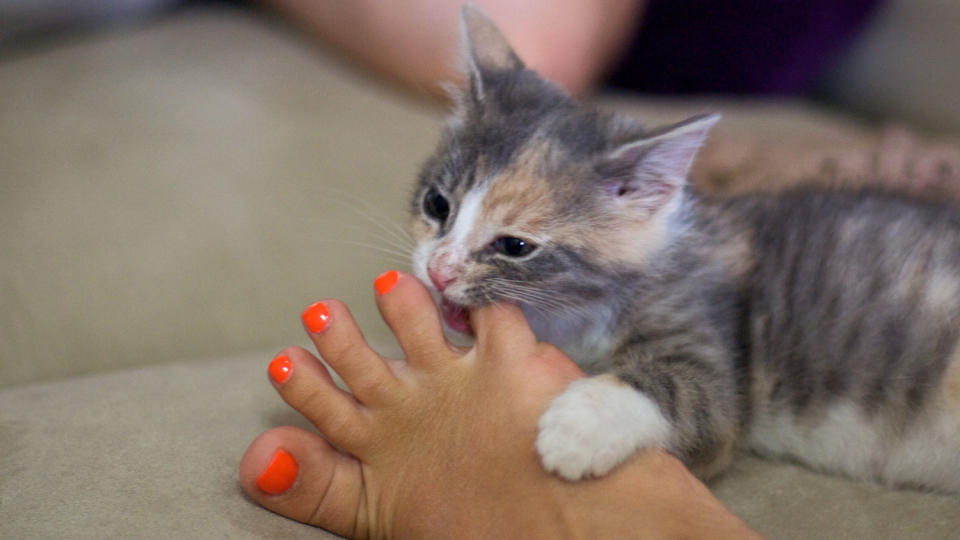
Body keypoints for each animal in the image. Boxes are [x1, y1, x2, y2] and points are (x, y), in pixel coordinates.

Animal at [408, 5, 960, 494]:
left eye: (515, 246)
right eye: (437, 204)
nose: (439, 271)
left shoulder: (710, 340)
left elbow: (686, 394)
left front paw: (577, 428)